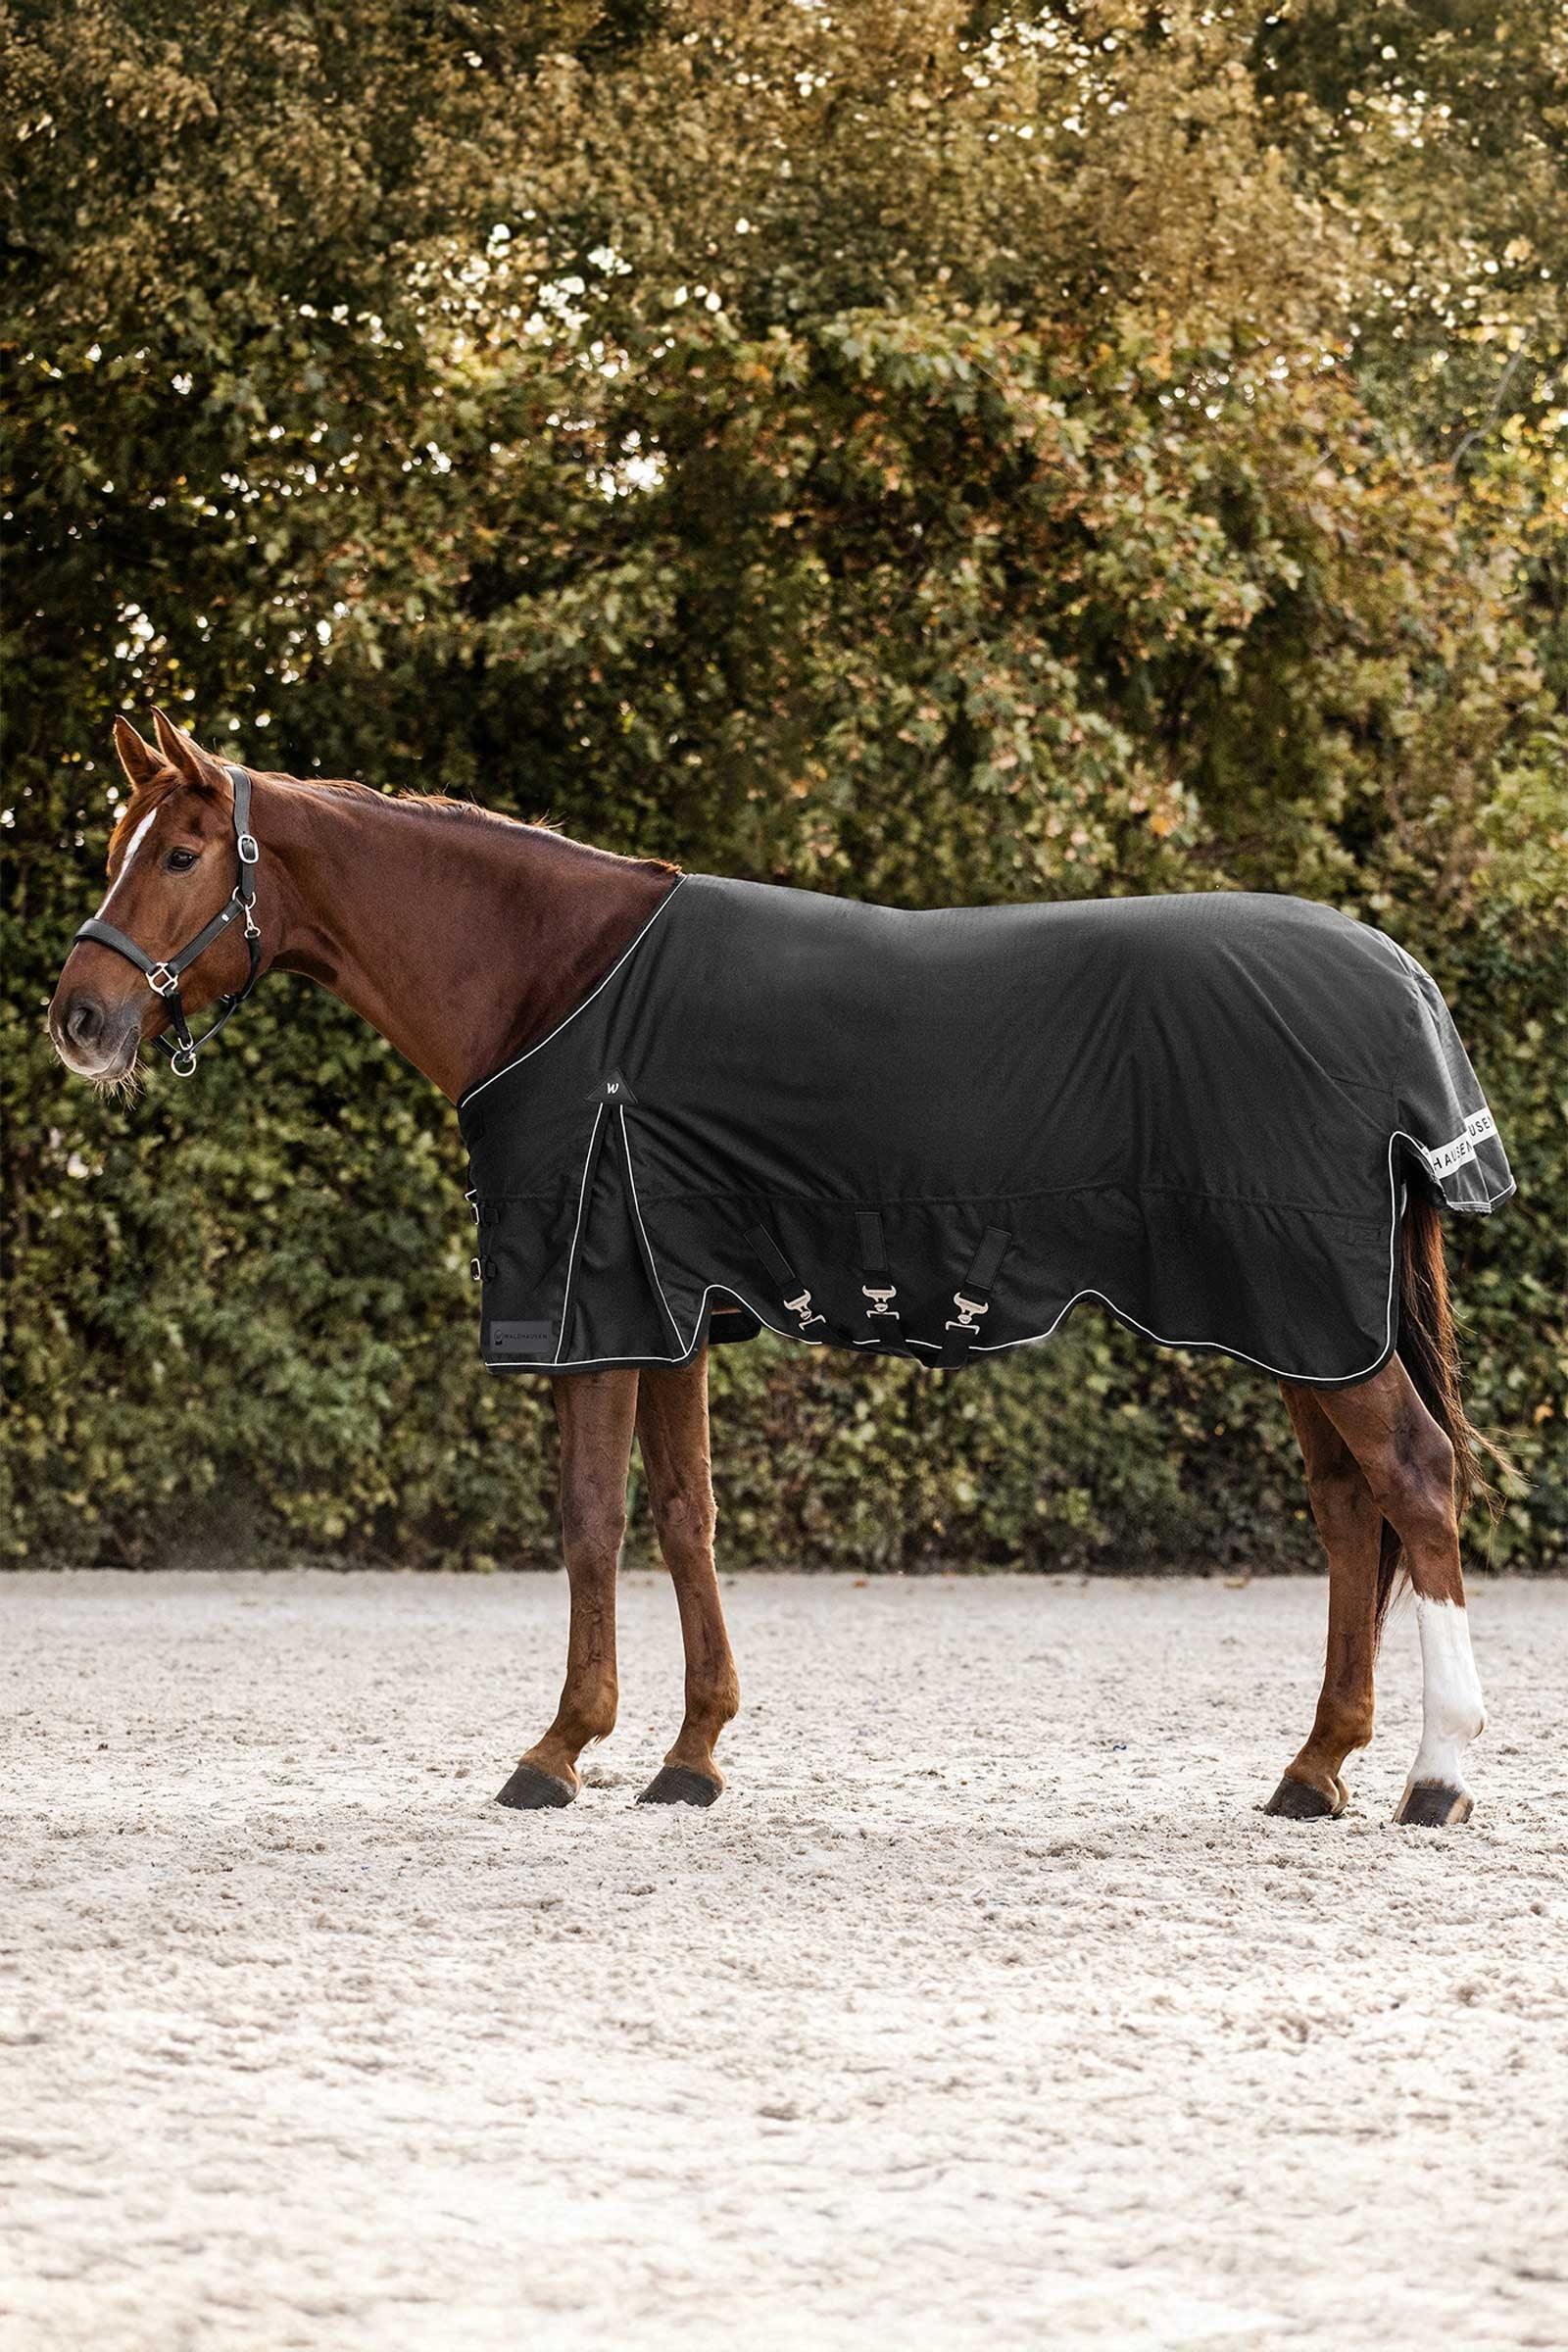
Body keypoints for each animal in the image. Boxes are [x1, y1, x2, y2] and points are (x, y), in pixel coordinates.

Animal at [48, 711, 1506, 1828]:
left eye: (181, 853)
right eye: (114, 849)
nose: (79, 1019)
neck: (553, 979)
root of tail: (1395, 979)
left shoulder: (594, 1303)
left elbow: (589, 1521)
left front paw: (557, 1751)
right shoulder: (672, 1312)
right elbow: (684, 1517)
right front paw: (690, 1757)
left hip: (1312, 1307)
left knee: (1416, 1479)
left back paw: (1434, 1778)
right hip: (1305, 1322)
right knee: (1348, 1509)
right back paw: (1315, 1769)